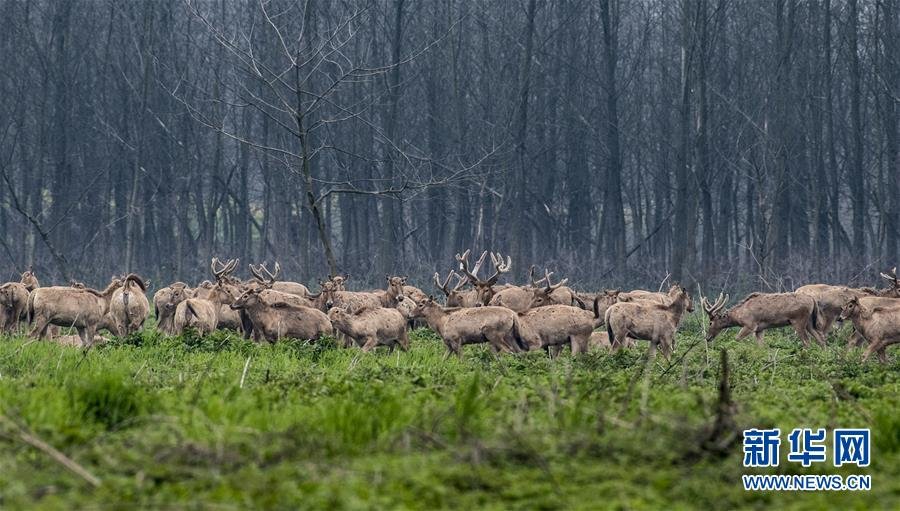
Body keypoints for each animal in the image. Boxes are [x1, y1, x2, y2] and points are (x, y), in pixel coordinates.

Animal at [700, 292, 828, 348]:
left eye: (710, 322)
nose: (707, 337)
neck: (739, 316)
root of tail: (812, 300)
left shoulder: (750, 325)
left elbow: (737, 339)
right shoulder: (759, 329)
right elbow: (761, 345)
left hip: (798, 321)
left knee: (807, 342)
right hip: (809, 322)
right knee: (821, 339)